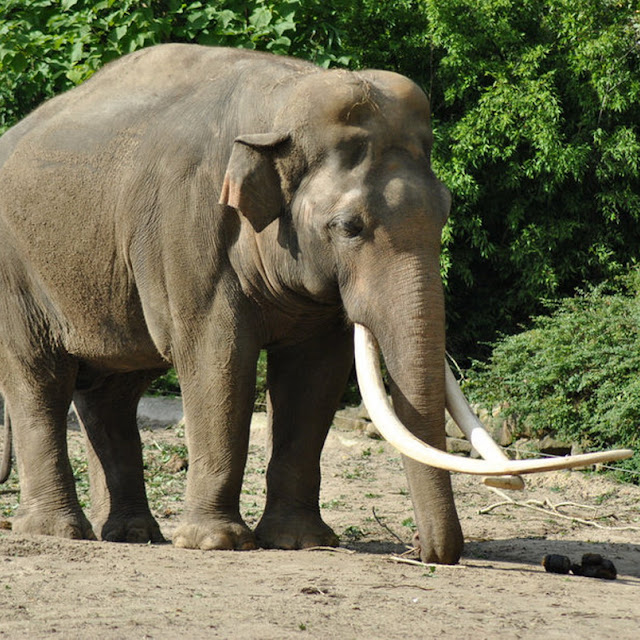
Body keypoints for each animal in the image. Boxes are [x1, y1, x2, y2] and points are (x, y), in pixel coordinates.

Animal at [0, 45, 632, 564]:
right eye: (348, 227)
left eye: (447, 211)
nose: (424, 553)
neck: (278, 105)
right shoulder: (188, 233)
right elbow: (218, 359)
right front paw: (217, 544)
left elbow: (316, 375)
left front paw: (300, 542)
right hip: (17, 276)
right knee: (39, 380)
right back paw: (58, 532)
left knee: (113, 391)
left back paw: (133, 535)